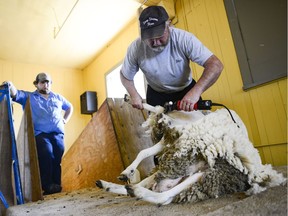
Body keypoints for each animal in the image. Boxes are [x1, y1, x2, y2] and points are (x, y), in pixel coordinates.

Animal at [96, 106, 286, 206]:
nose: (163, 116)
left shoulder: (175, 137)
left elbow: (145, 151)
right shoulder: (169, 140)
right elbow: (144, 152)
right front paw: (127, 172)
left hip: (203, 173)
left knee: (164, 197)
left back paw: (136, 191)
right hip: (176, 172)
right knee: (155, 187)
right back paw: (111, 185)